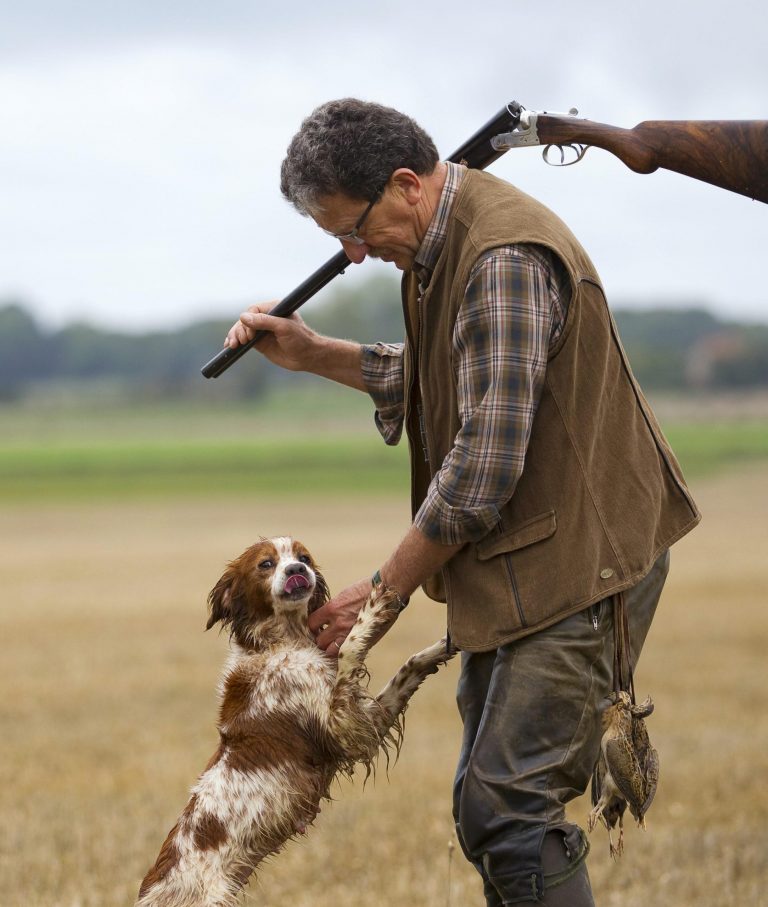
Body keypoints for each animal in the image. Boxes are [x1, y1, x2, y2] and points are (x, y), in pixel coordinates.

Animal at [136, 536, 456, 904]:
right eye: (266, 563)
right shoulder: (343, 727)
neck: (280, 642)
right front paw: (372, 609)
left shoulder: (366, 719)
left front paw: (440, 648)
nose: (296, 570)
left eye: (304, 556)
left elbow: (408, 667)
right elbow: (347, 649)